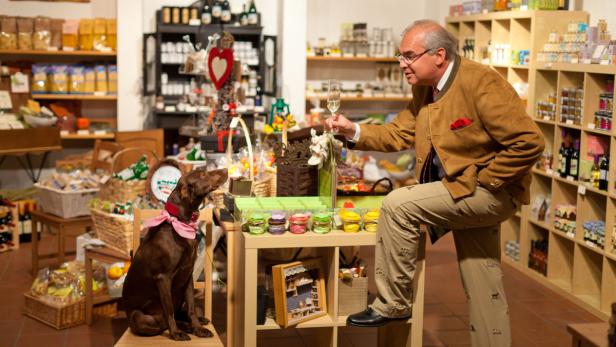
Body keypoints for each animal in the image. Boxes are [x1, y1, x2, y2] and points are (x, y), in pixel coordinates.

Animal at [121, 167, 227, 342]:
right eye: (203, 174)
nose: (226, 170)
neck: (179, 224)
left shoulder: (188, 276)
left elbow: (191, 308)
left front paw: (198, 328)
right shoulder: (163, 278)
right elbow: (169, 310)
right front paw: (176, 333)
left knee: (182, 313)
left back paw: (194, 323)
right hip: (138, 316)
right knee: (161, 323)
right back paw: (182, 327)